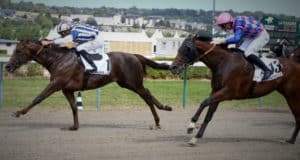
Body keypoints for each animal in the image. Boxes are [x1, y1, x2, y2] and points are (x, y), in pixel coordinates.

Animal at [5, 39, 172, 130]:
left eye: (18, 51)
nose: (7, 66)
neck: (58, 59)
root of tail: (135, 56)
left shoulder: (56, 84)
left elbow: (38, 98)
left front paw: (18, 112)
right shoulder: (67, 89)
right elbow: (74, 107)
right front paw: (74, 126)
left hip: (132, 83)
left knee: (147, 96)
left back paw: (157, 122)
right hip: (129, 83)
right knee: (148, 93)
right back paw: (165, 107)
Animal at [170, 34, 298, 146]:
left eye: (186, 49)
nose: (173, 67)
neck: (223, 62)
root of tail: (297, 64)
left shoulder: (228, 92)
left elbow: (204, 102)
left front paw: (191, 125)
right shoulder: (216, 92)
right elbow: (208, 115)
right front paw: (195, 138)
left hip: (292, 95)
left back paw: (292, 140)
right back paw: (291, 140)